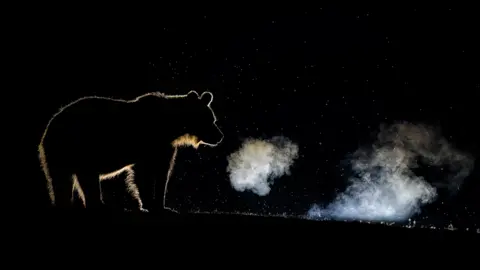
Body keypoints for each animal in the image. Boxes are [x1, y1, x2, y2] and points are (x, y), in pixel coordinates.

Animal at [38, 89, 224, 212]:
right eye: (211, 120)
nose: (220, 136)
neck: (171, 126)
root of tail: (51, 125)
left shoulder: (165, 147)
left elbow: (163, 173)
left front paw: (162, 205)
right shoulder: (148, 144)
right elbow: (144, 174)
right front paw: (149, 203)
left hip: (63, 154)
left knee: (63, 180)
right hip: (80, 146)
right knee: (84, 179)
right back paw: (99, 205)